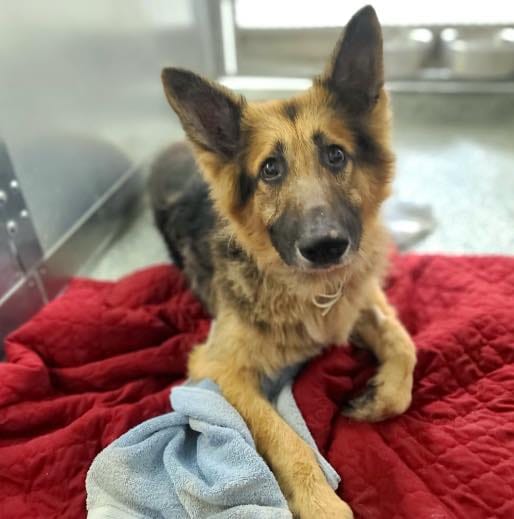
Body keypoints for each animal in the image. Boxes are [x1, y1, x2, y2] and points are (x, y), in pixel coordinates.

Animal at [147, 5, 412, 519]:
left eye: (335, 155)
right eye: (271, 169)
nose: (326, 247)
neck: (312, 292)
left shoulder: (364, 294)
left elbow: (405, 344)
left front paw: (382, 395)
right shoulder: (218, 369)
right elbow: (285, 438)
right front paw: (322, 504)